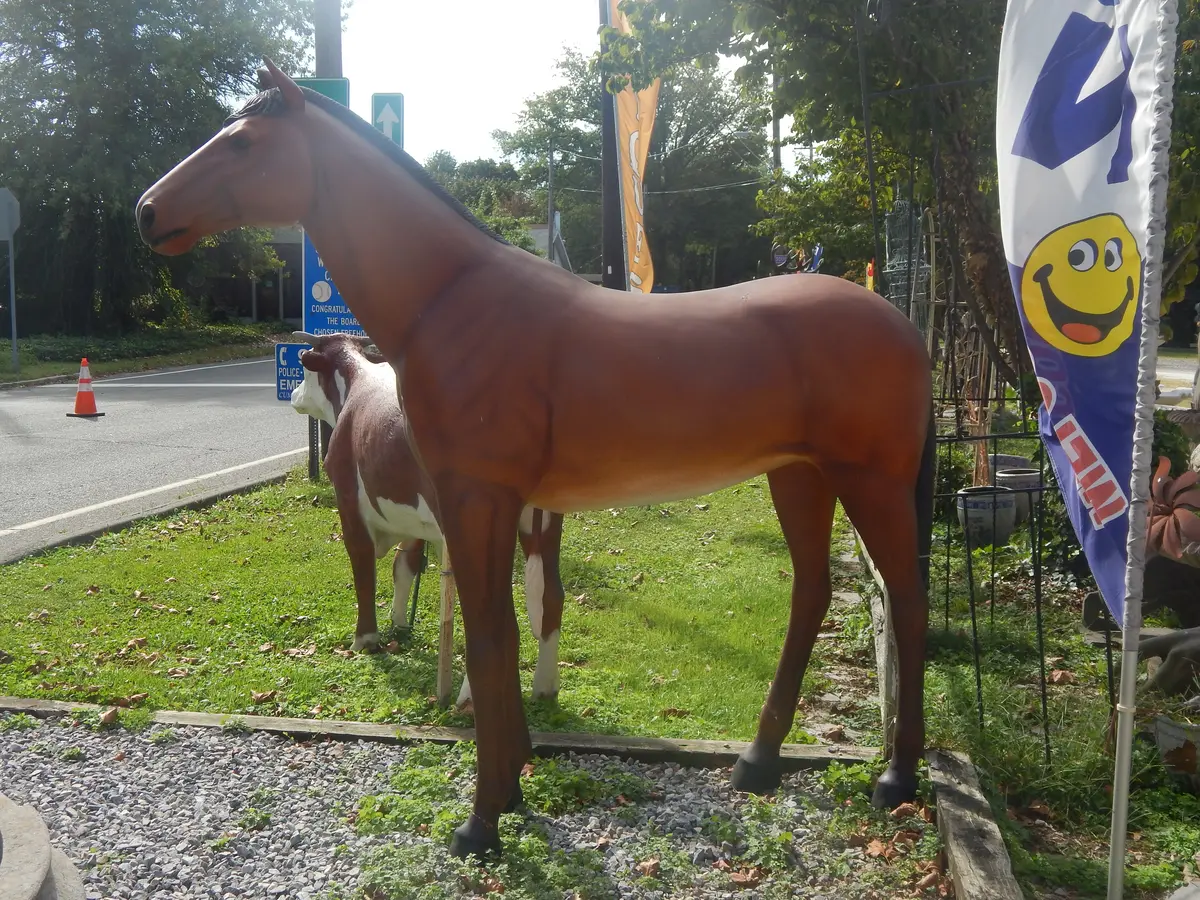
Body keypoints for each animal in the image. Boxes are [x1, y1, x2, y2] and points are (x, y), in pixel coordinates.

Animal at [288, 330, 567, 705]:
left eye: (304, 369)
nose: (292, 394)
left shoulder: (348, 501)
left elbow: (363, 570)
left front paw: (365, 639)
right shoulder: (415, 519)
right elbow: (403, 568)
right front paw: (399, 622)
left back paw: (469, 698)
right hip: (546, 523)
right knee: (552, 595)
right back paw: (544, 686)